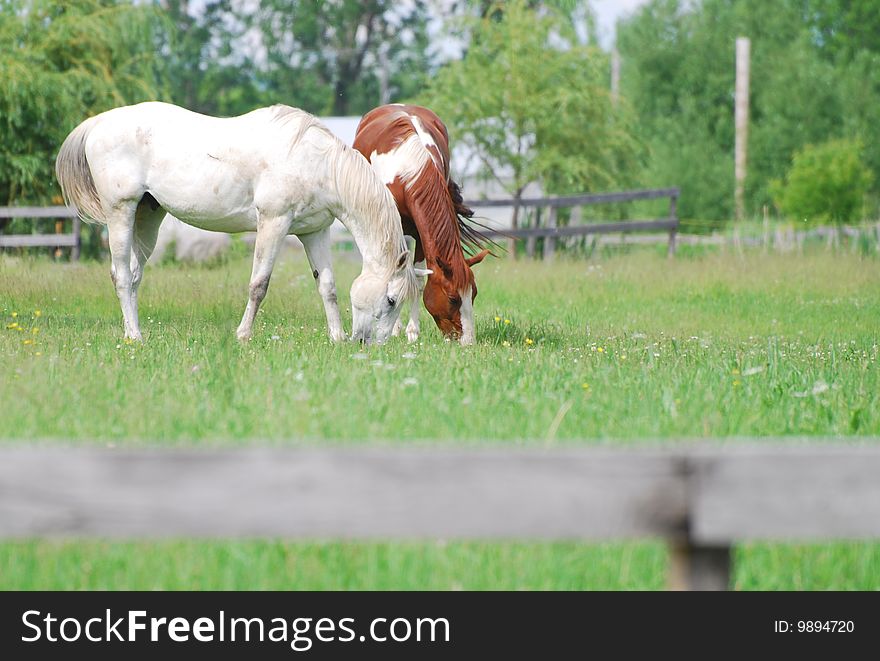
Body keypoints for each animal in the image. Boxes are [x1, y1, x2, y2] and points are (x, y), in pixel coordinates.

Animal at [55, 102, 430, 346]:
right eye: (391, 300)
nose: (371, 344)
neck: (317, 162)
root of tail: (97, 124)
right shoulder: (273, 223)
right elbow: (258, 285)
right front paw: (244, 335)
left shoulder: (314, 232)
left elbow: (328, 286)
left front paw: (336, 338)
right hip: (121, 212)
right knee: (120, 276)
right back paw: (133, 336)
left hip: (148, 217)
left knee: (133, 276)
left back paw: (136, 332)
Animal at [352, 103, 488, 346]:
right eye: (453, 298)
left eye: (473, 294)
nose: (467, 341)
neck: (408, 174)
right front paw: (402, 329)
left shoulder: (421, 234)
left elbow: (416, 278)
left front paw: (412, 331)